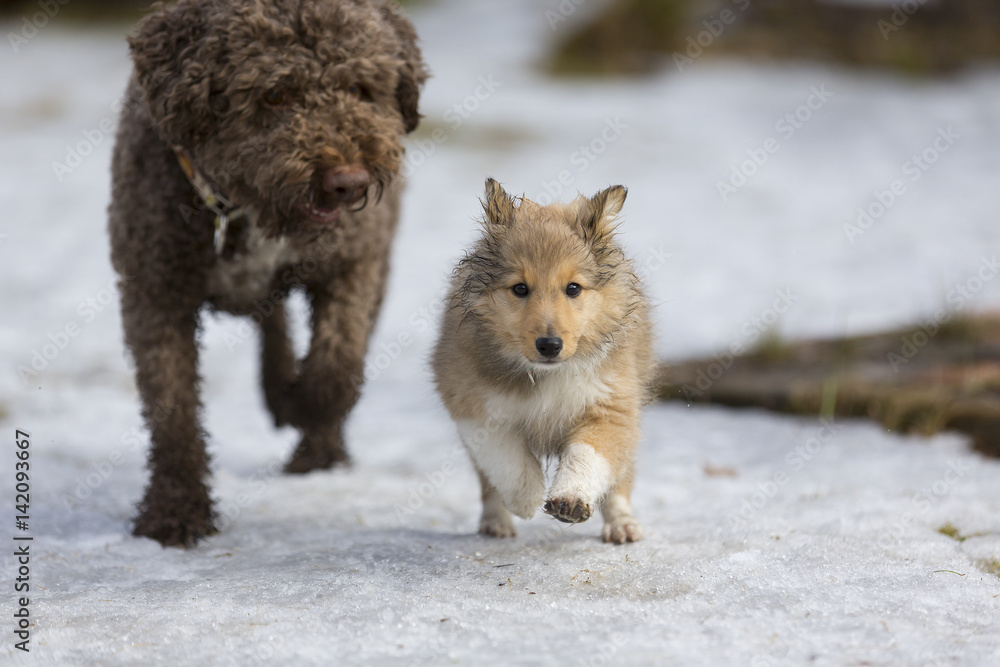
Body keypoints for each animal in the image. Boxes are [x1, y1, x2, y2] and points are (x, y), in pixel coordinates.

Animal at [110, 0, 430, 548]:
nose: (348, 182)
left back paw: (314, 443)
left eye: (361, 88)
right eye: (275, 94)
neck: (243, 210)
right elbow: (172, 409)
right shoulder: (153, 290)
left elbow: (337, 365)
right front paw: (175, 511)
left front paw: (305, 411)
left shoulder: (355, 263)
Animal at [432, 180, 656, 544]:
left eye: (573, 288)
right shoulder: (472, 405)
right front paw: (526, 498)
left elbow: (588, 454)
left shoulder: (612, 406)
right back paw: (496, 521)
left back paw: (622, 524)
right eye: (520, 288)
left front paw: (570, 500)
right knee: (489, 485)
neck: (547, 374)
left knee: (620, 479)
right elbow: (507, 457)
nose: (549, 345)